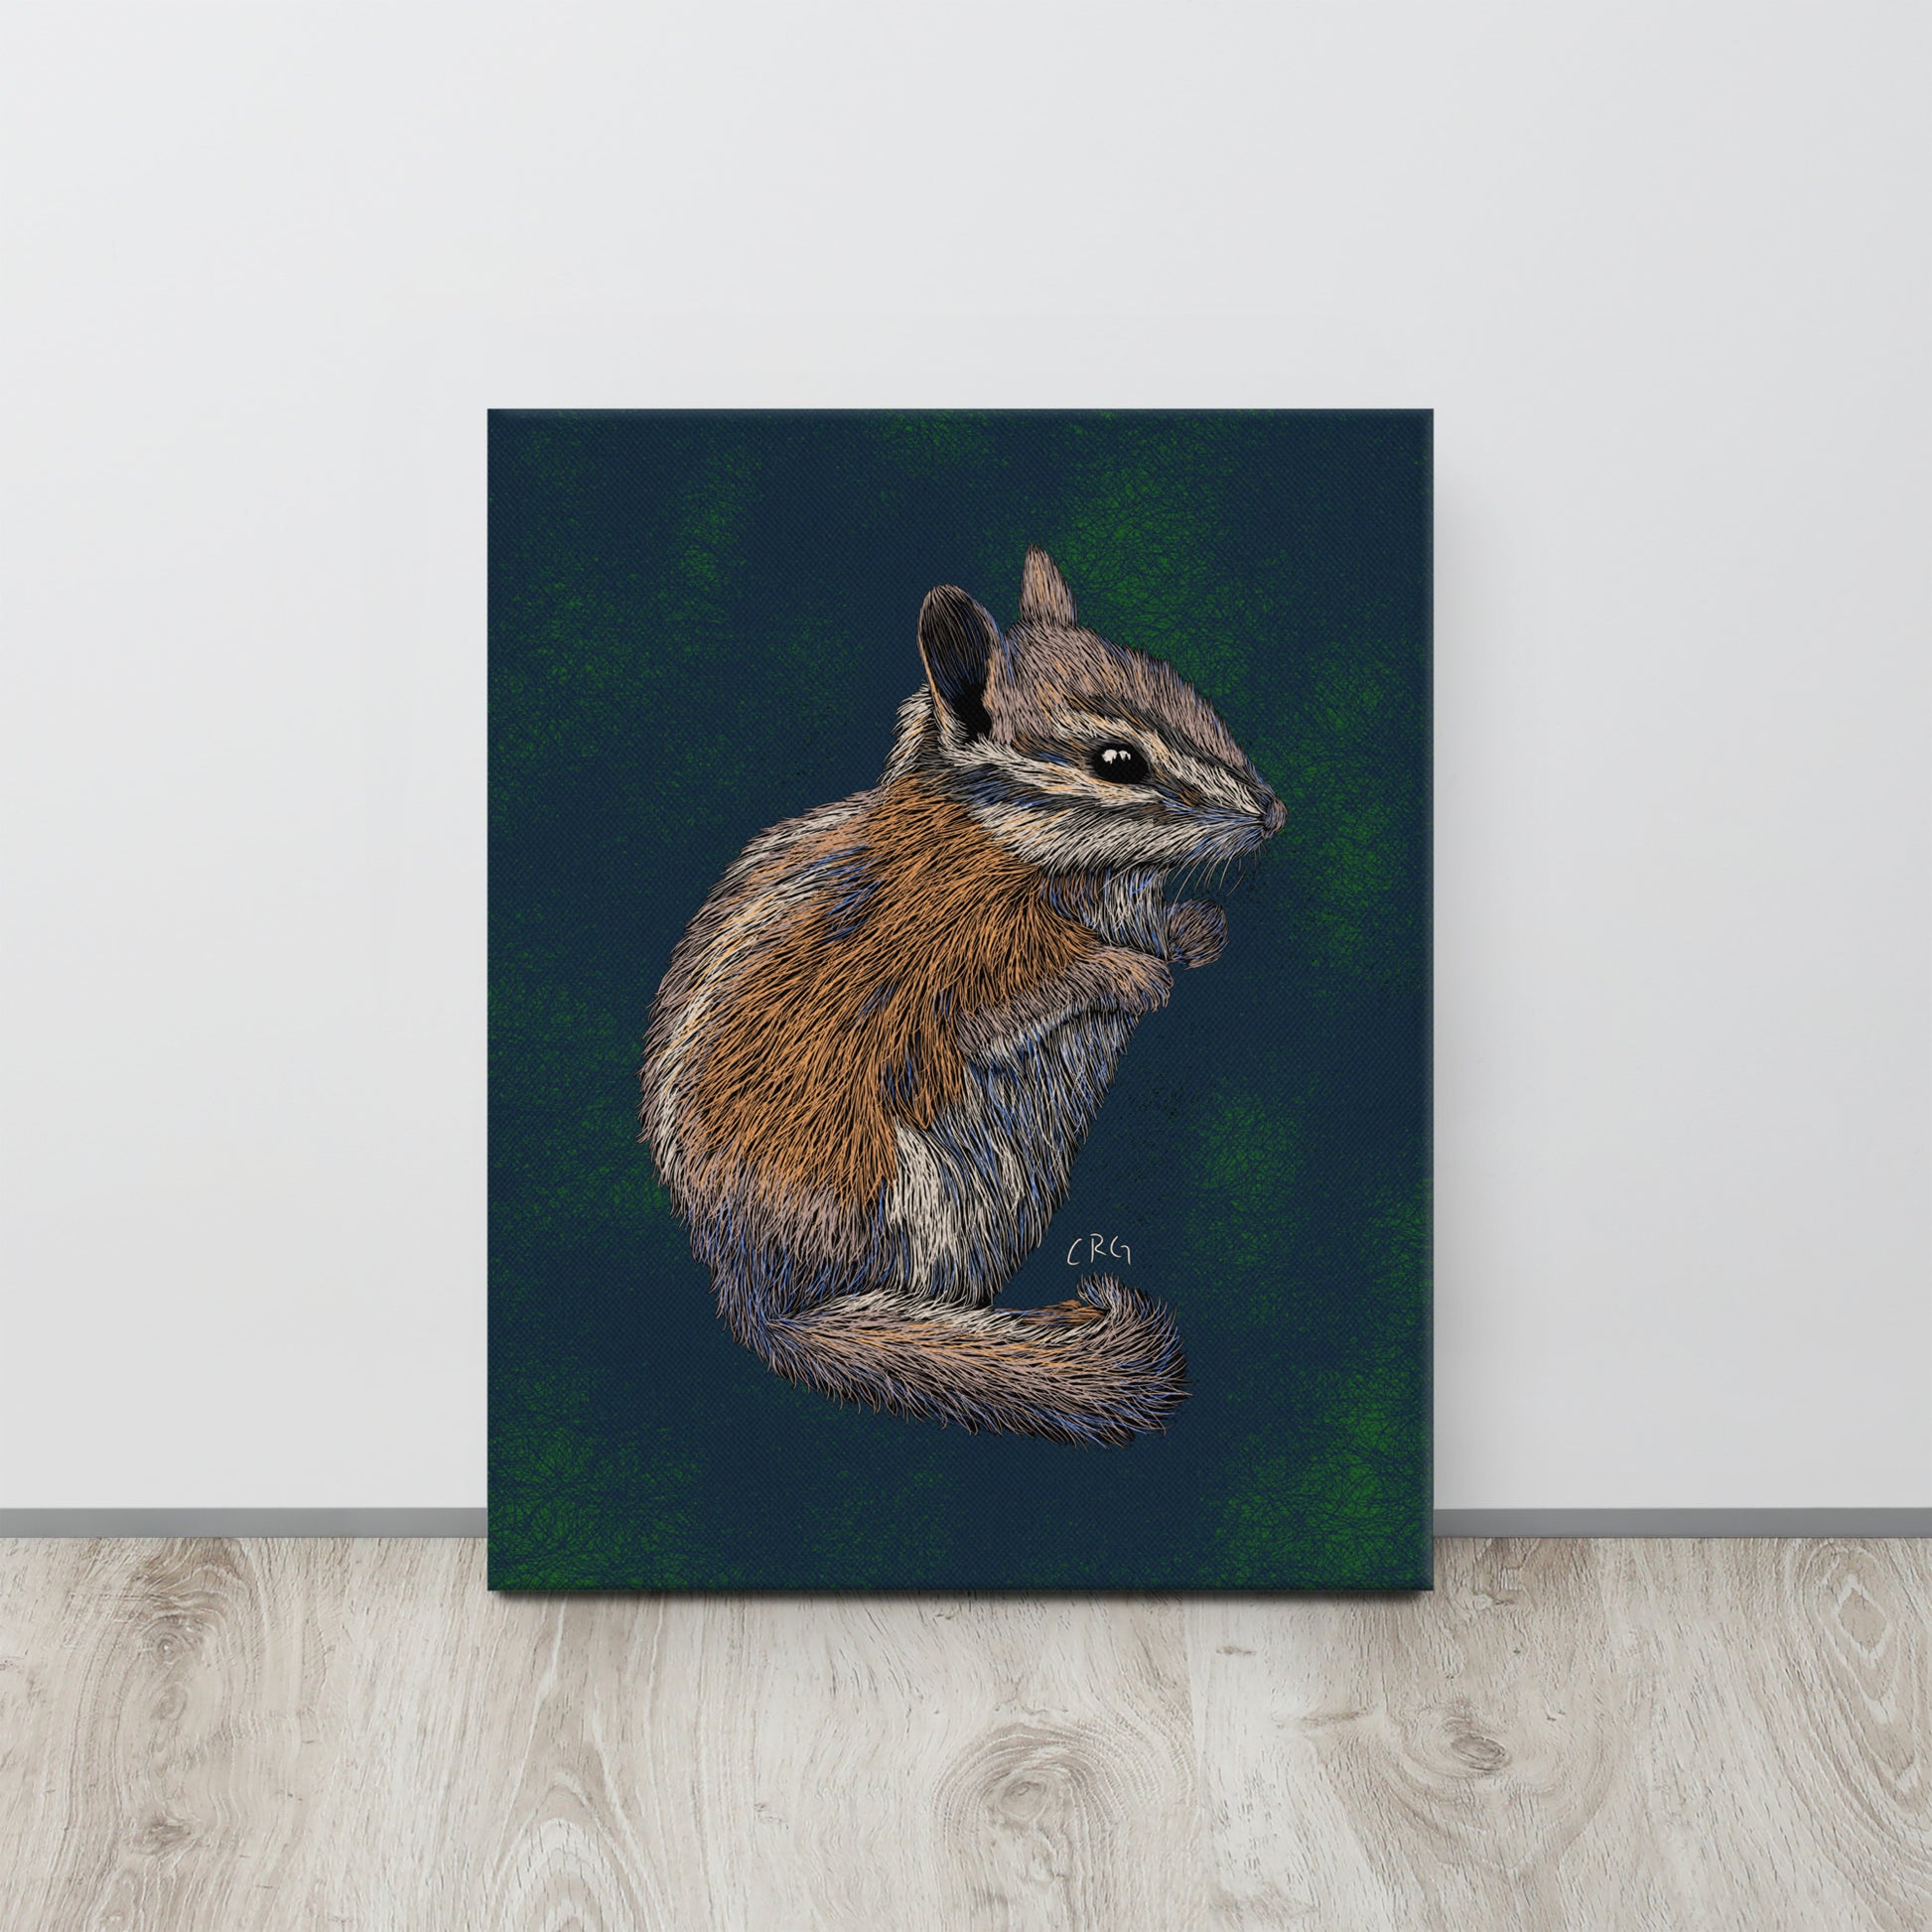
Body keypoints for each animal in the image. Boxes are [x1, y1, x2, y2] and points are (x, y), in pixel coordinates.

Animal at [639, 548, 1285, 1446]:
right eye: (1118, 761)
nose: (1274, 812)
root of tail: (760, 1297)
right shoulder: (951, 977)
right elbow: (1009, 1009)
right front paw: (1131, 974)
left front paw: (1196, 932)